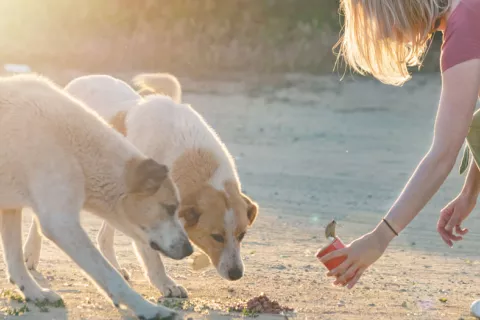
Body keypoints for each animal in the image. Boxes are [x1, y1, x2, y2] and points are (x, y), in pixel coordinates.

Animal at [0, 74, 191, 320]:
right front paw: (148, 309)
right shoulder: (61, 224)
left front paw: (34, 293)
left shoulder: (10, 207)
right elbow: (110, 275)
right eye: (170, 207)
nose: (189, 249)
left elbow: (15, 261)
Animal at [23, 72, 258, 298]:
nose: (236, 274)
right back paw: (30, 254)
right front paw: (166, 284)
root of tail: (79, 80)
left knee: (104, 235)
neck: (190, 152)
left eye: (242, 235)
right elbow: (153, 257)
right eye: (216, 236)